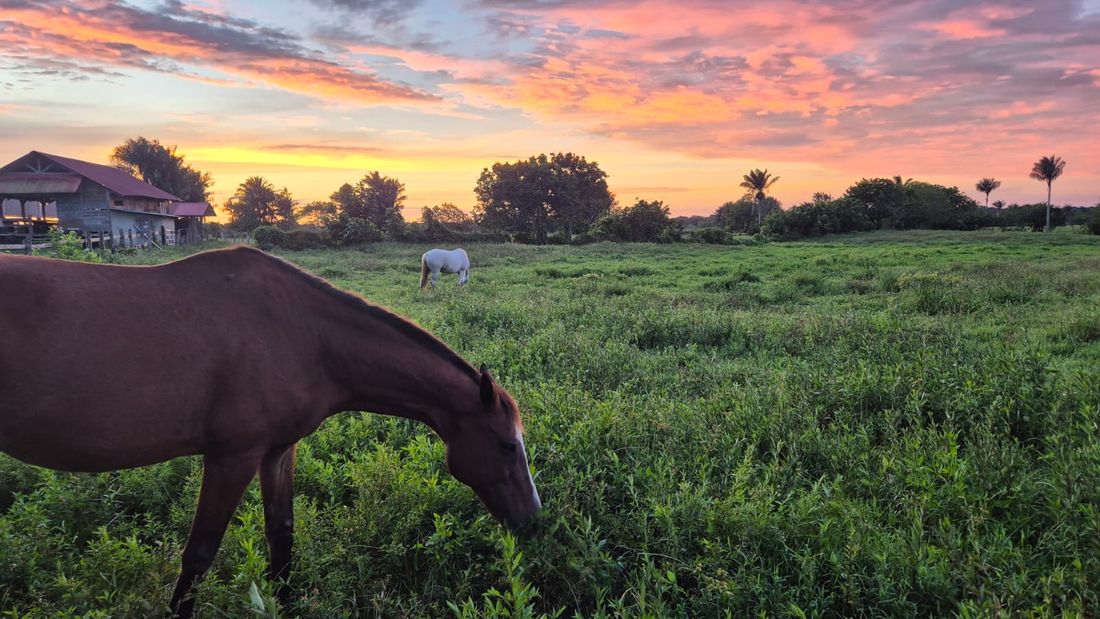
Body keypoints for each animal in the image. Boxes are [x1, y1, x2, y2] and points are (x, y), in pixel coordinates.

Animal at [0, 246, 540, 618]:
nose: (533, 520)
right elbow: (199, 555)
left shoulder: (279, 450)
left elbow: (282, 536)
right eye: (506, 445)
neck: (305, 335)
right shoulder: (231, 457)